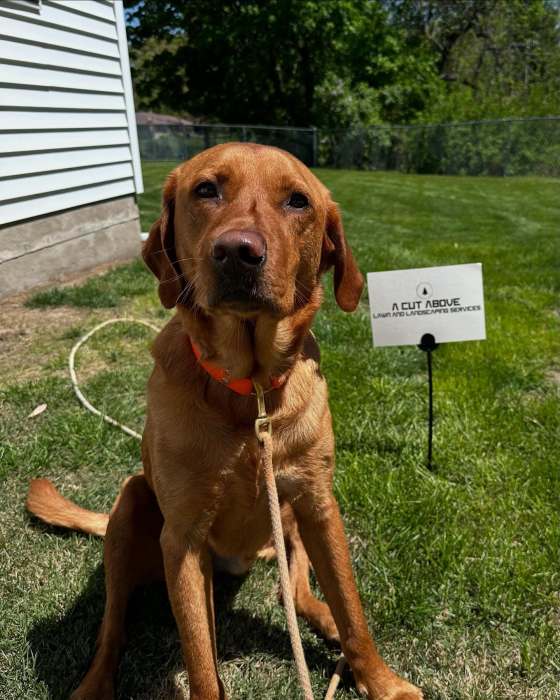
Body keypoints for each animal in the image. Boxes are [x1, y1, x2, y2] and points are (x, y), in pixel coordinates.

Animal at [27, 143, 422, 700]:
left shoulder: (320, 506)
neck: (249, 393)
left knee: (295, 591)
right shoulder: (183, 539)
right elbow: (200, 661)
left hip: (289, 522)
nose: (237, 251)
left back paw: (321, 618)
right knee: (113, 625)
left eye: (298, 201)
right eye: (206, 190)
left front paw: (381, 681)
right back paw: (95, 683)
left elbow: (352, 609)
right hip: (131, 507)